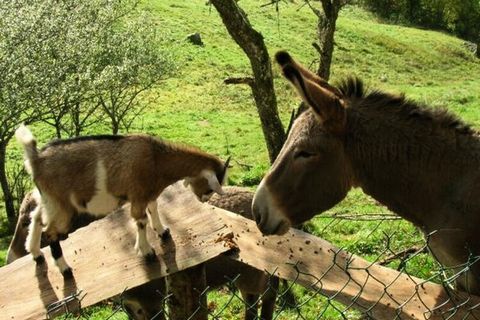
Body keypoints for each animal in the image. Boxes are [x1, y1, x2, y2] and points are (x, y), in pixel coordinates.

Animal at [15, 125, 229, 278]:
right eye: (210, 187)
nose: (204, 199)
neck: (157, 159)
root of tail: (36, 159)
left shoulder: (149, 193)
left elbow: (154, 208)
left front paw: (163, 231)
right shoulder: (138, 195)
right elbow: (140, 220)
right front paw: (147, 252)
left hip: (48, 199)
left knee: (36, 218)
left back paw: (35, 253)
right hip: (62, 205)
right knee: (50, 232)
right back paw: (65, 270)